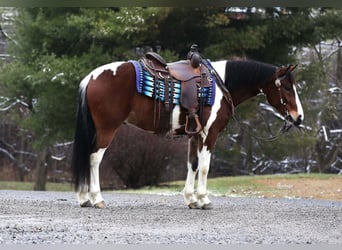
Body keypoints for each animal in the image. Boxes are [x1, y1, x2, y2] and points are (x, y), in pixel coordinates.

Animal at [71, 54, 304, 209]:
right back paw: (96, 198)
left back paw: (84, 198)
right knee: (94, 159)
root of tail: (91, 77)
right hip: (107, 129)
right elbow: (205, 167)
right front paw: (204, 199)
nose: (299, 117)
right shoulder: (210, 133)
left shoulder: (195, 135)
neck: (221, 84)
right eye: (286, 87)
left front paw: (191, 199)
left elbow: (193, 164)